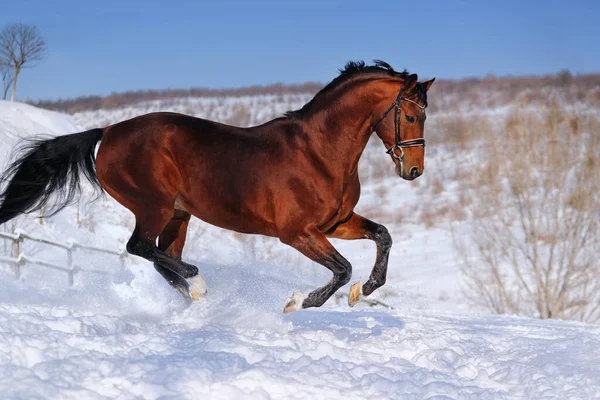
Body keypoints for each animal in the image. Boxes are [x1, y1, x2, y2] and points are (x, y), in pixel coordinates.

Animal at [0, 60, 434, 312]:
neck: (319, 150)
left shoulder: (335, 224)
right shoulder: (296, 232)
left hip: (178, 215)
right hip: (153, 206)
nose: (413, 170)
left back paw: (193, 296)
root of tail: (108, 132)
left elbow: (382, 235)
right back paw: (197, 282)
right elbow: (342, 269)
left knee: (159, 256)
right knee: (140, 247)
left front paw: (368, 288)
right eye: (412, 116)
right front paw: (300, 301)